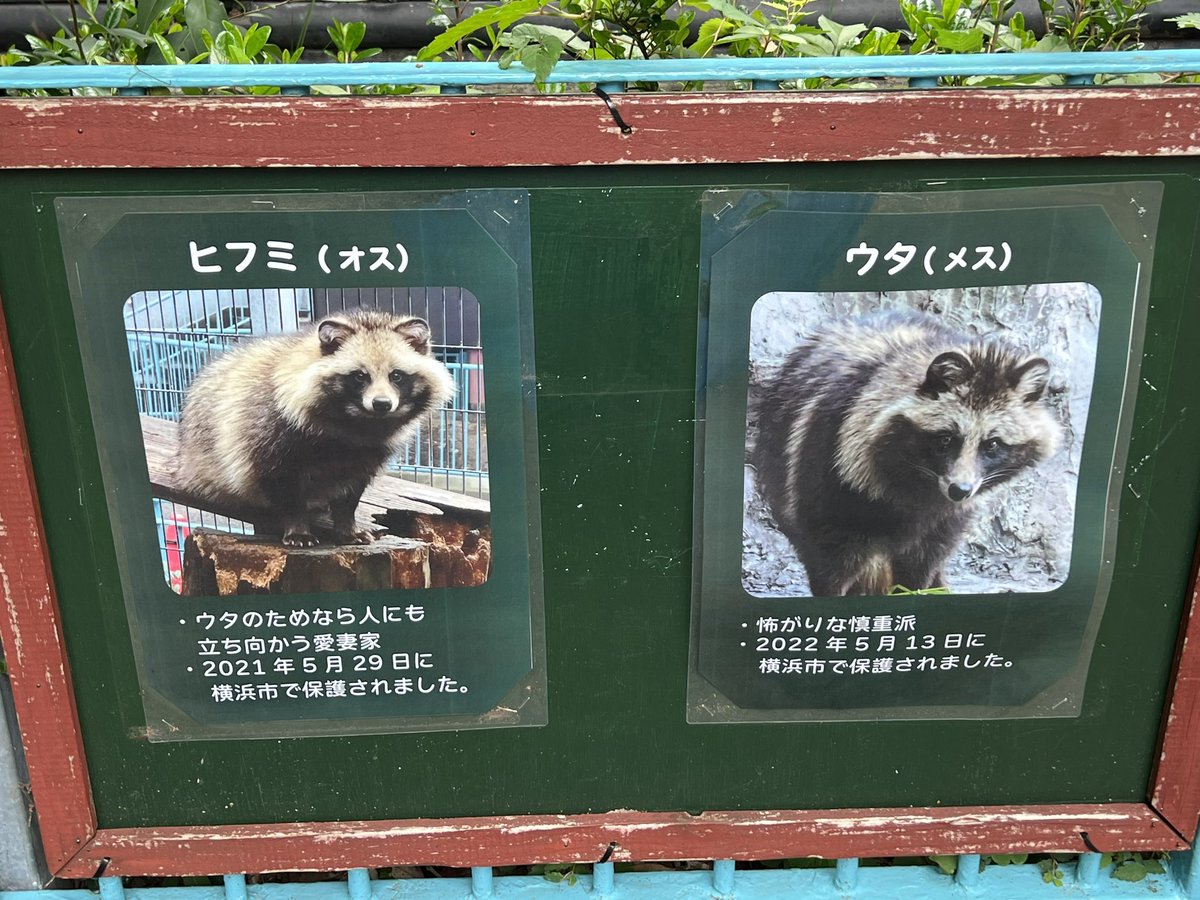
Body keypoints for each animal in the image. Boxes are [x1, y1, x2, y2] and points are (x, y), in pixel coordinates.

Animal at [176, 309, 453, 549]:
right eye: (360, 376)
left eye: (396, 376)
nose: (382, 404)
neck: (357, 423)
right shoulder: (269, 436)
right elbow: (282, 486)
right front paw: (297, 527)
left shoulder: (366, 455)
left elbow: (350, 494)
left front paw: (346, 527)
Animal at [753, 312, 1065, 600]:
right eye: (946, 439)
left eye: (992, 445)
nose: (960, 490)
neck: (918, 480)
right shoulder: (827, 464)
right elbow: (829, 561)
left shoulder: (946, 519)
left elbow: (921, 565)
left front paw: (916, 589)